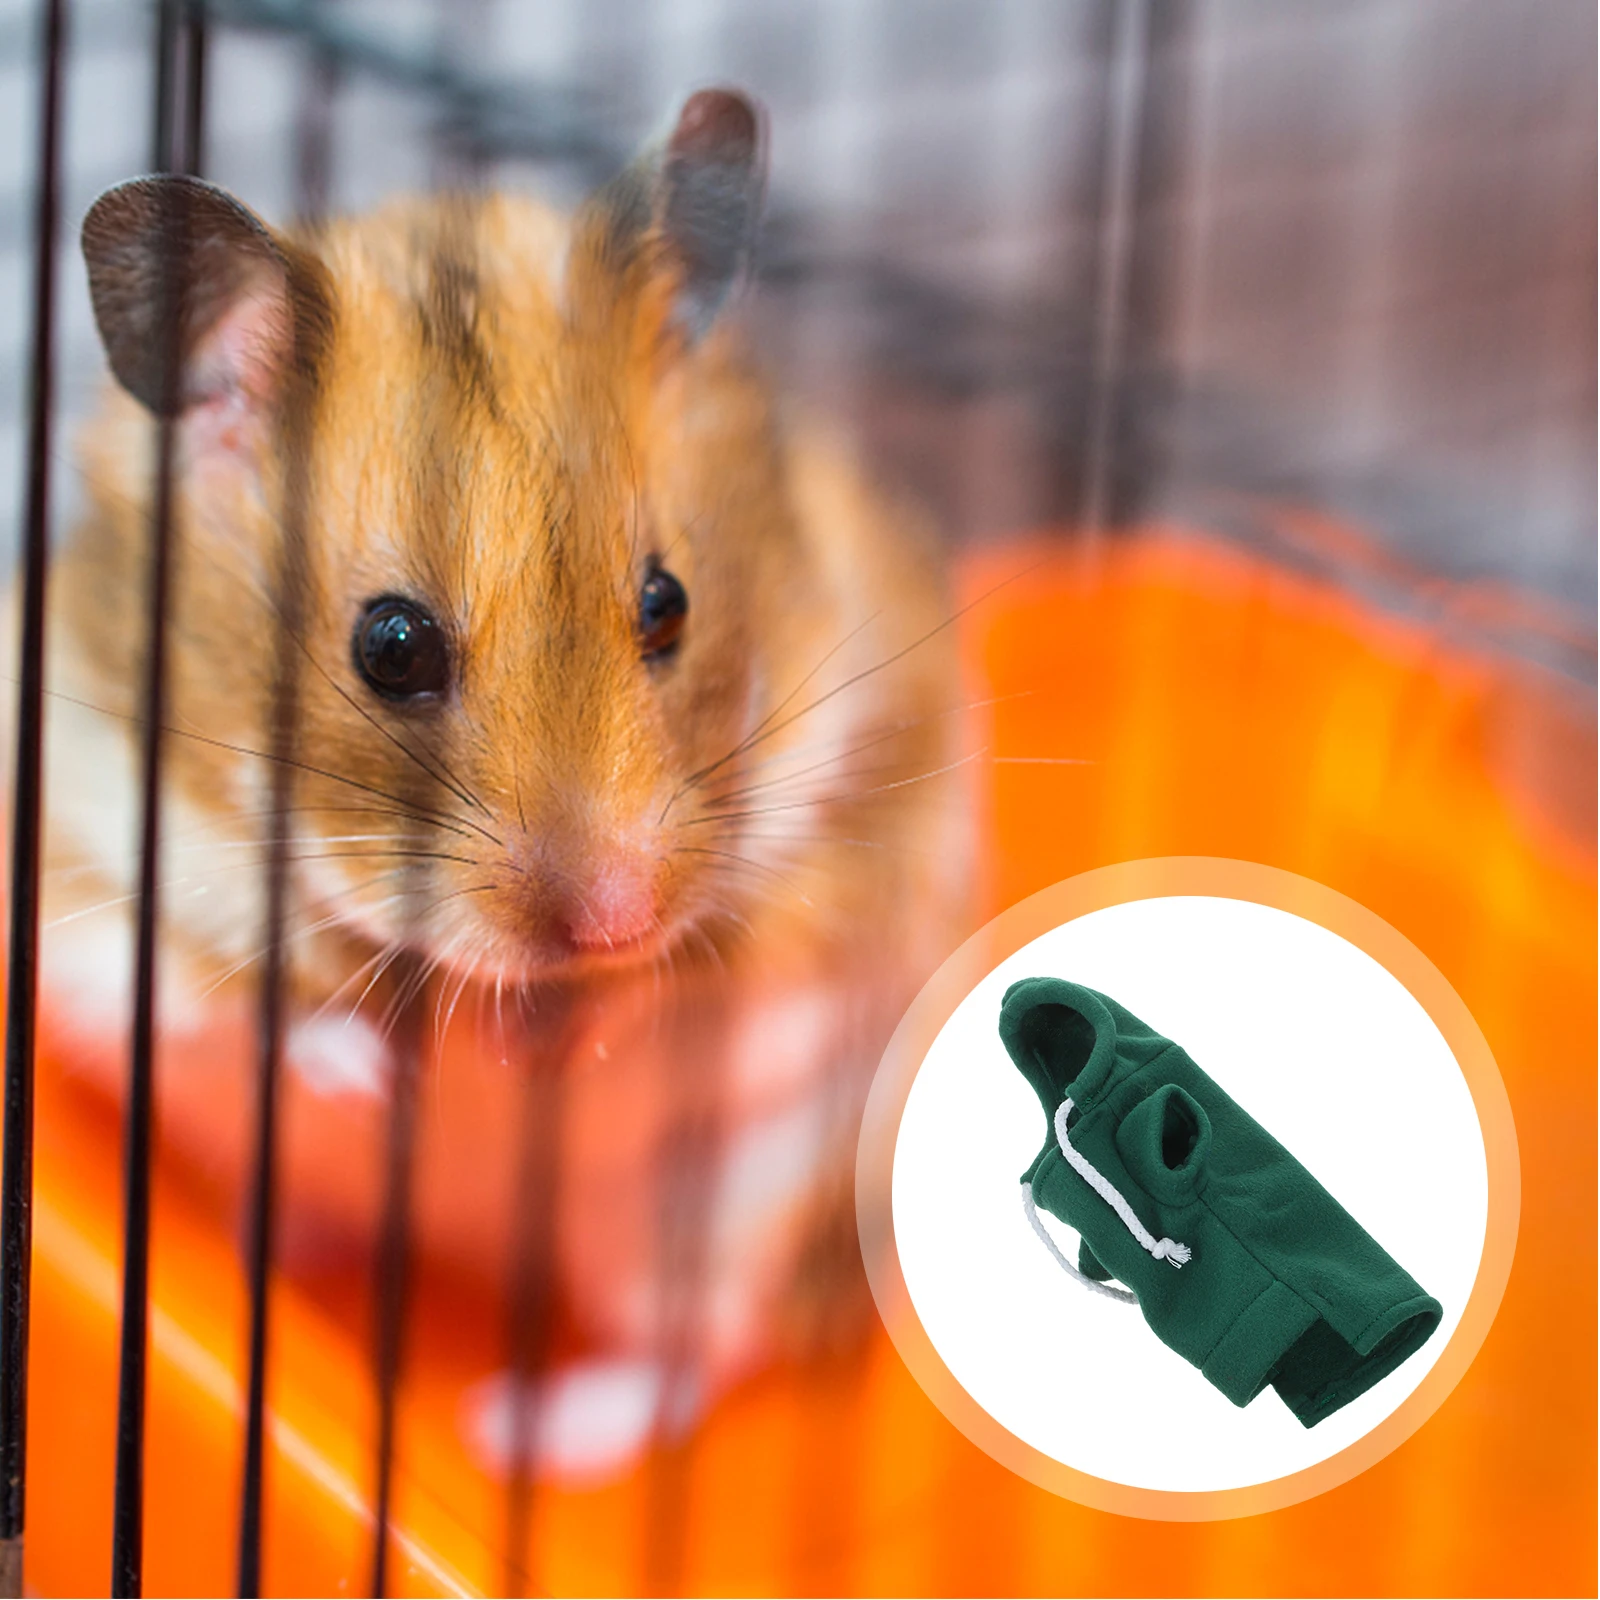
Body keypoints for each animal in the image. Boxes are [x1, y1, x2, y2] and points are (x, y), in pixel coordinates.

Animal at [35, 90, 971, 1468]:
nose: (618, 921)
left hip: (720, 1214)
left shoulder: (842, 852)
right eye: (391, 645)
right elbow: (253, 1000)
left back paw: (520, 1431)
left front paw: (540, 1045)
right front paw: (397, 1077)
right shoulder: (96, 861)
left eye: (667, 601)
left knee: (693, 1355)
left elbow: (704, 979)